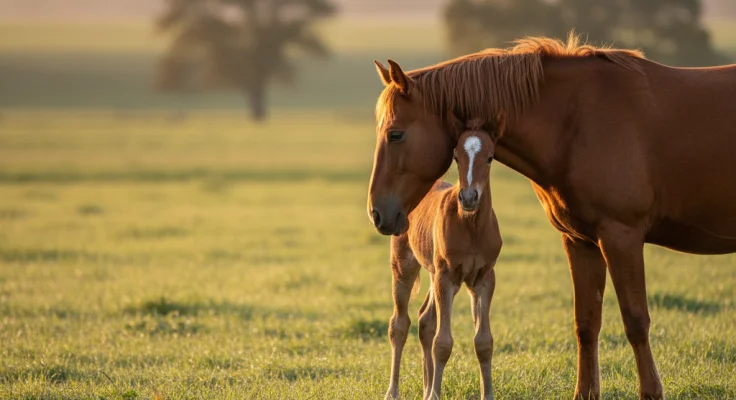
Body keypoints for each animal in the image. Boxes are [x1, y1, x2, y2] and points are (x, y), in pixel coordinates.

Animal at [385, 116, 504, 400]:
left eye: (490, 158)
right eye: (456, 156)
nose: (469, 197)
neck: (471, 227)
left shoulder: (484, 279)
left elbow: (483, 342)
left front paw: (487, 394)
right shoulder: (447, 277)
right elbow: (443, 342)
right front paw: (433, 396)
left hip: (433, 273)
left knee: (425, 320)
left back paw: (427, 386)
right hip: (405, 267)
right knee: (399, 324)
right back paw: (393, 392)